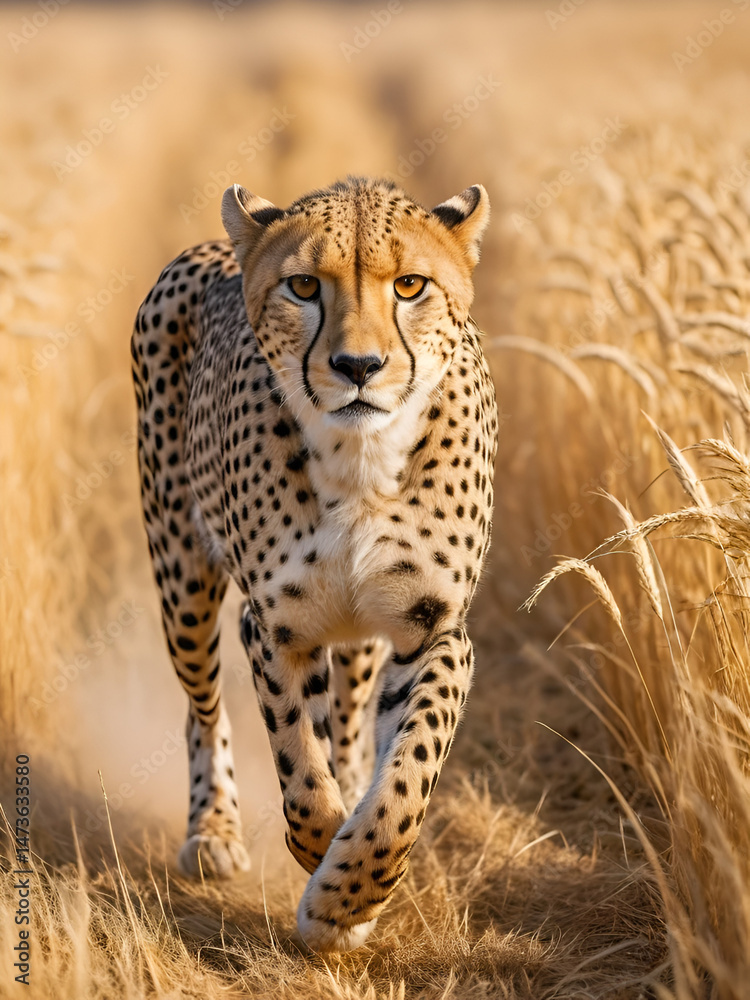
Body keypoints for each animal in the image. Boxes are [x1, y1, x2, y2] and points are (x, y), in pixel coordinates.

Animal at [130, 175, 498, 952]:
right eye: (303, 286)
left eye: (410, 285)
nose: (358, 367)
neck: (361, 460)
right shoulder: (275, 626)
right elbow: (298, 758)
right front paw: (321, 852)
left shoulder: (433, 628)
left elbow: (406, 776)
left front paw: (346, 898)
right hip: (182, 577)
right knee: (203, 707)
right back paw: (213, 828)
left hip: (357, 636)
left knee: (354, 720)